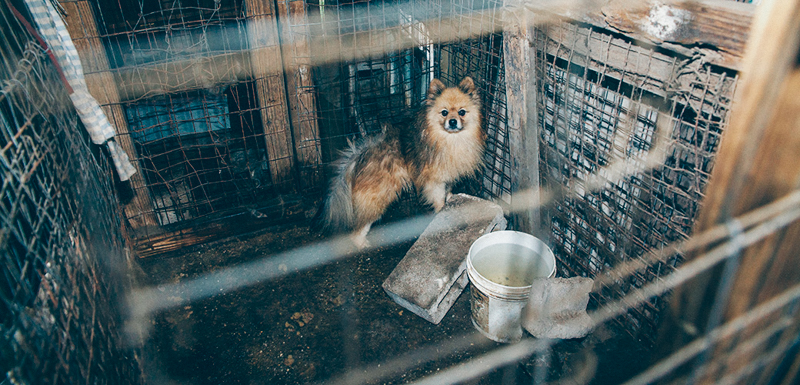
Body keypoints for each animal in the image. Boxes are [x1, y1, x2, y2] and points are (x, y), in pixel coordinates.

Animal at [318, 76, 482, 248]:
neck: (452, 139)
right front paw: (441, 210)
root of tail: (360, 156)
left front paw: (450, 198)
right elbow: (438, 199)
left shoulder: (448, 175)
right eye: (444, 112)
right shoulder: (434, 181)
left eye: (462, 112)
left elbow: (447, 191)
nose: (452, 121)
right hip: (378, 197)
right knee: (359, 228)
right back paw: (361, 243)